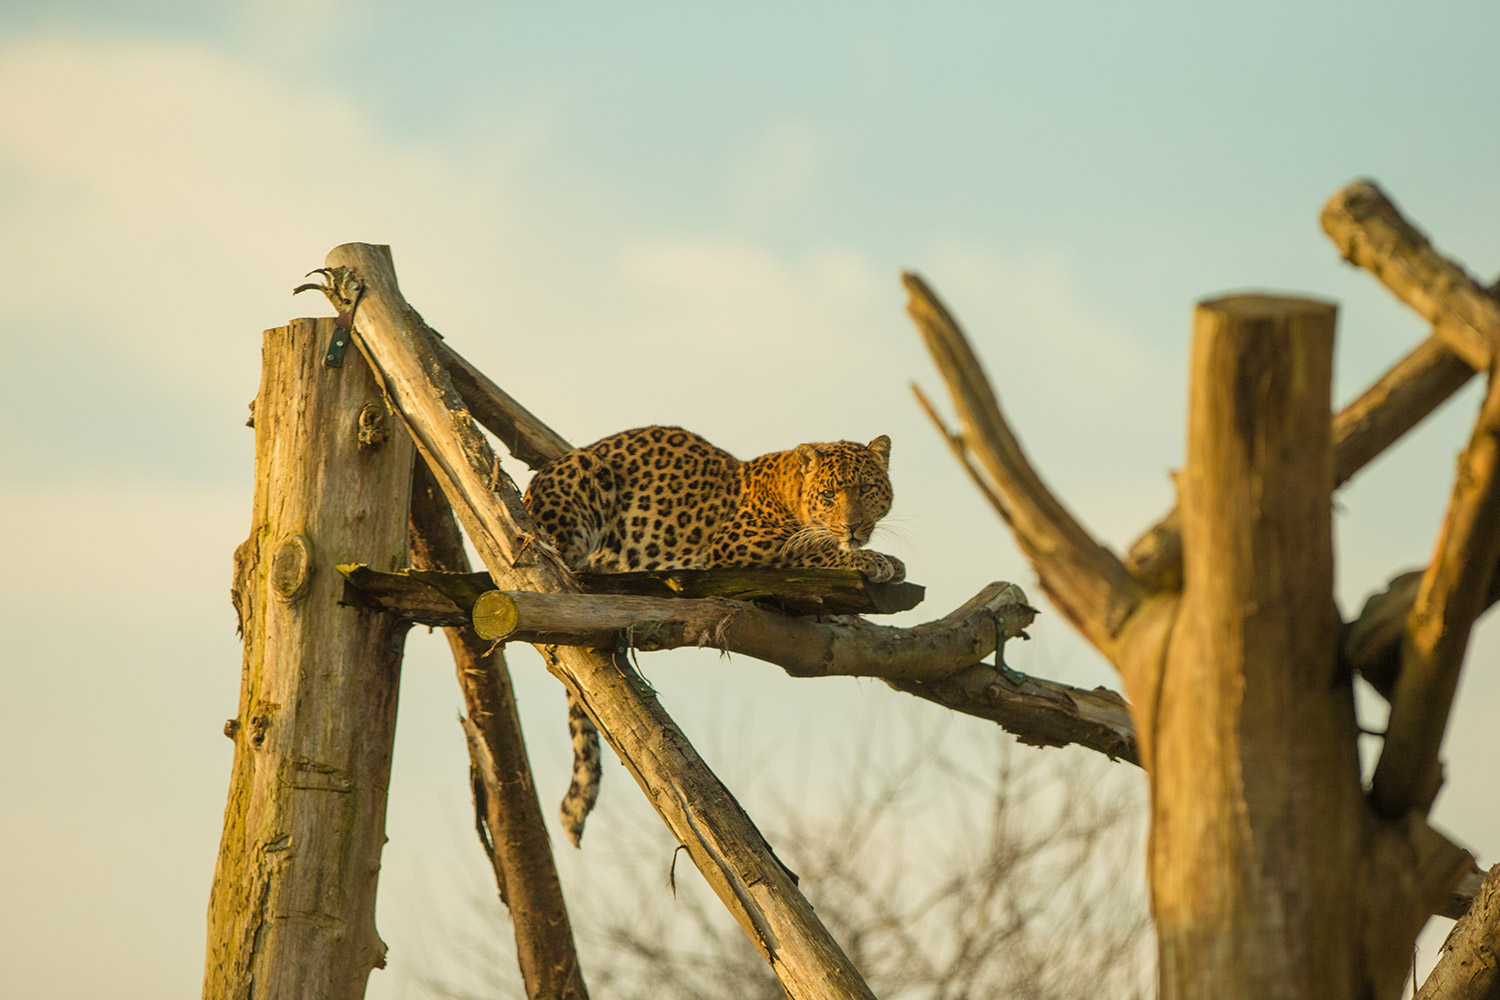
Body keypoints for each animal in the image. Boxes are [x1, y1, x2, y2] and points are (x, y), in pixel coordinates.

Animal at [523, 425, 904, 846]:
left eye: (866, 488)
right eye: (829, 495)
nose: (854, 527)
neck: (789, 491)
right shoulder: (741, 549)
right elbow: (812, 552)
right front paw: (875, 561)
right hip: (583, 478)